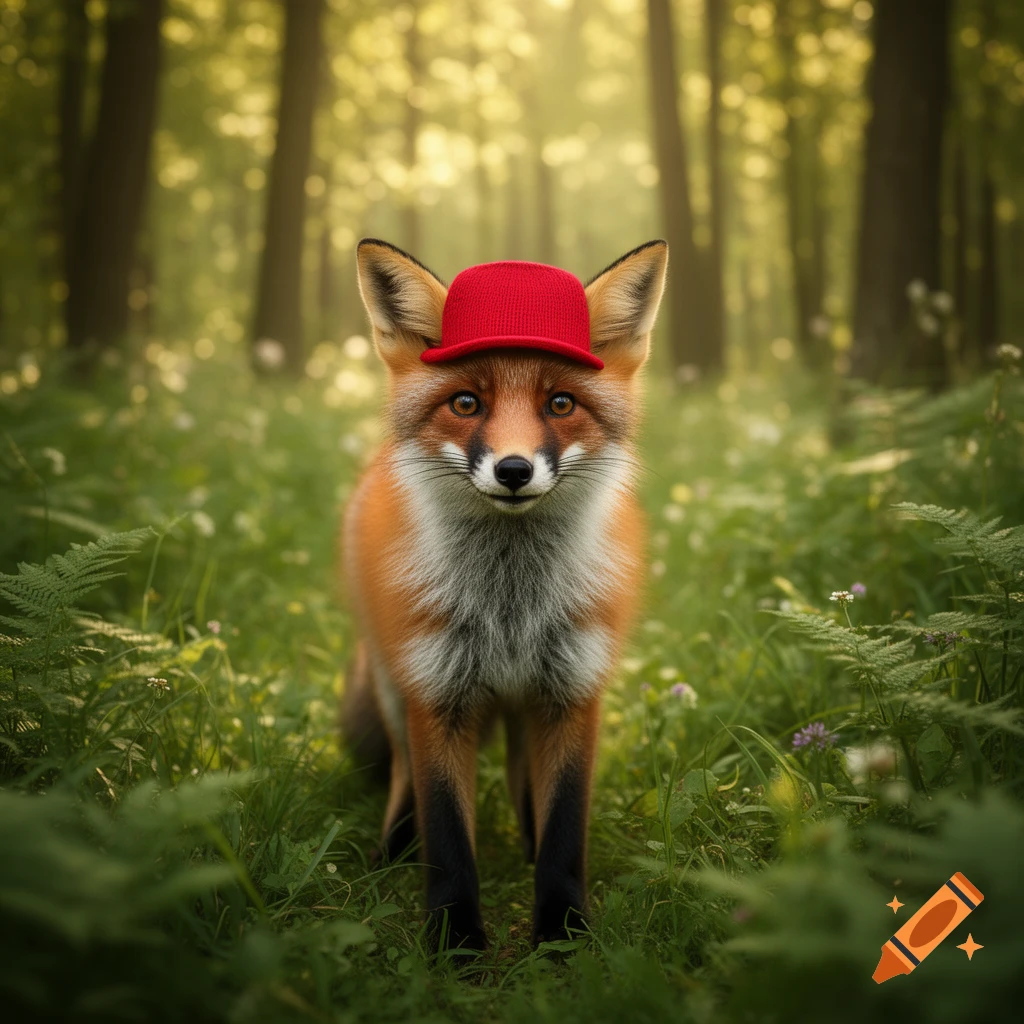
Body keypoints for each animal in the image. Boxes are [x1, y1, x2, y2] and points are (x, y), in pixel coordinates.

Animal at [340, 237, 668, 950]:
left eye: (561, 404)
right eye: (467, 403)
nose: (514, 470)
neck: (510, 607)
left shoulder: (574, 692)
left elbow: (565, 831)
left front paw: (563, 938)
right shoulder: (435, 693)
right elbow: (447, 837)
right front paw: (456, 945)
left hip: (528, 703)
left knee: (523, 779)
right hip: (391, 683)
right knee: (402, 778)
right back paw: (391, 854)